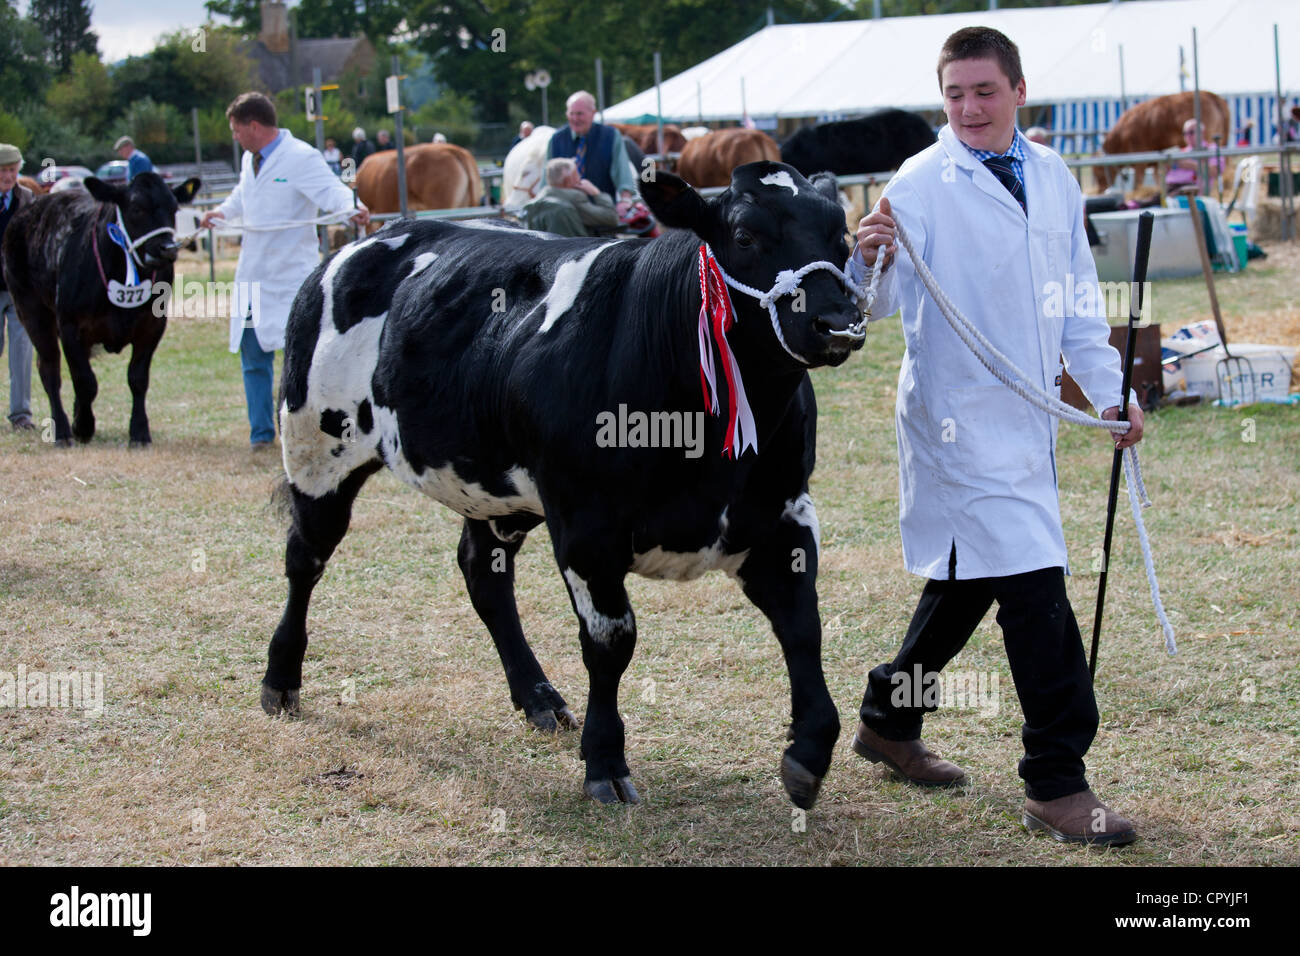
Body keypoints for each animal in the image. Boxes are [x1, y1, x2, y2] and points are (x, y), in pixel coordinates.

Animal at [1, 172, 198, 447]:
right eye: (136, 208)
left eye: (174, 208)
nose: (168, 249)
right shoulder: (69, 325)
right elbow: (86, 381)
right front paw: (83, 426)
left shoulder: (153, 325)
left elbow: (137, 378)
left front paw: (139, 431)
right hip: (31, 311)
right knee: (49, 369)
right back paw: (62, 430)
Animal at [267, 162, 868, 806]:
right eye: (745, 236)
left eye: (841, 237)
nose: (837, 322)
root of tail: (359, 242)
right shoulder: (587, 527)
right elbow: (611, 643)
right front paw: (604, 761)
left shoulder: (783, 513)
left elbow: (802, 625)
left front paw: (809, 750)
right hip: (315, 449)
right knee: (304, 559)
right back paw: (280, 679)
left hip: (496, 490)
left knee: (483, 575)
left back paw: (539, 699)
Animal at [1097, 90, 1227, 191]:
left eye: (1098, 170)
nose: (1100, 190)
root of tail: (1213, 96)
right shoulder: (1155, 163)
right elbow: (1158, 182)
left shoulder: (1141, 161)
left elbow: (1137, 184)